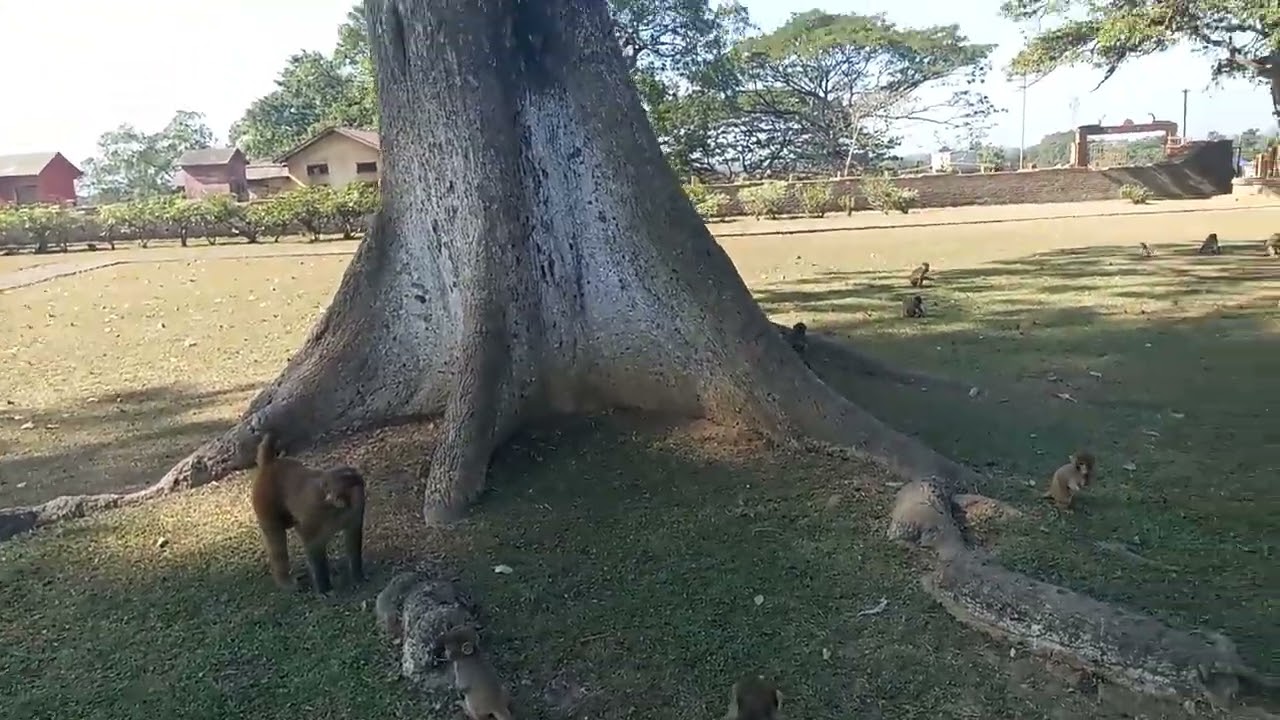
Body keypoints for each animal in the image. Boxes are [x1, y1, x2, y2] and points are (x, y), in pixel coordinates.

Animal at [250, 432, 366, 593]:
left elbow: (353, 538)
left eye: (331, 488)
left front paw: (357, 575)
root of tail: (270, 464)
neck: (341, 508)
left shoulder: (356, 511)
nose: (327, 496)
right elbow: (311, 541)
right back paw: (285, 580)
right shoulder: (316, 512)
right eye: (326, 486)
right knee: (277, 542)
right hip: (265, 499)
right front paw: (324, 586)